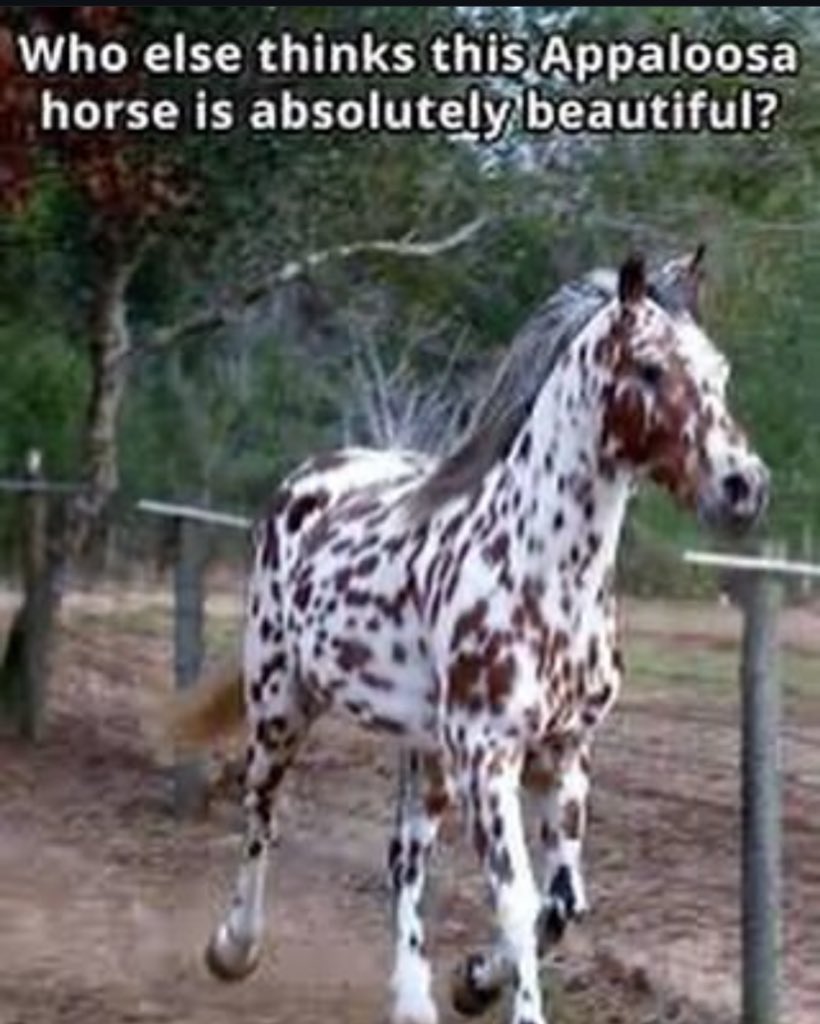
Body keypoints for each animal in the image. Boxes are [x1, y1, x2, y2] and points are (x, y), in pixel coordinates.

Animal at [175, 250, 769, 1024]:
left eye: (719, 369)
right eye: (648, 368)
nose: (744, 487)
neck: (541, 574)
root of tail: (309, 477)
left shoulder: (562, 751)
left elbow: (562, 905)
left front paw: (473, 981)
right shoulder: (488, 757)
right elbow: (517, 903)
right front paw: (507, 998)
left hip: (425, 751)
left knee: (404, 855)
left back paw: (412, 999)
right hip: (282, 702)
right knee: (261, 812)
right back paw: (233, 949)